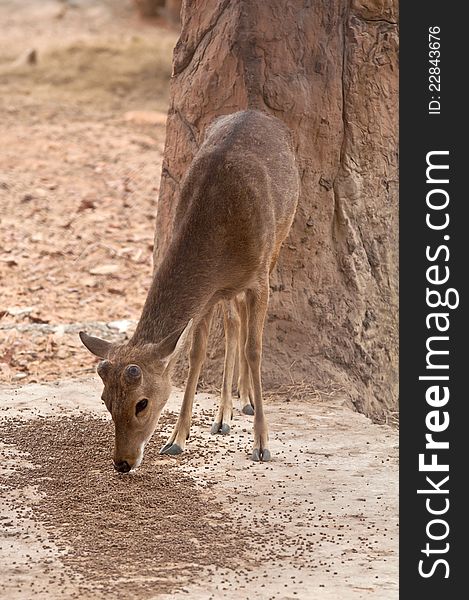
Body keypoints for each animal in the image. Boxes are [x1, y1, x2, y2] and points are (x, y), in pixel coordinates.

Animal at [79, 109, 300, 474]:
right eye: (105, 401)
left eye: (142, 403)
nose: (122, 462)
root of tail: (256, 113)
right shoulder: (209, 294)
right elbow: (196, 353)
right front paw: (176, 439)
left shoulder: (258, 278)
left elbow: (255, 349)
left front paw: (262, 444)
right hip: (227, 291)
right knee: (233, 324)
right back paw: (225, 414)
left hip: (280, 238)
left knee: (243, 326)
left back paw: (246, 403)